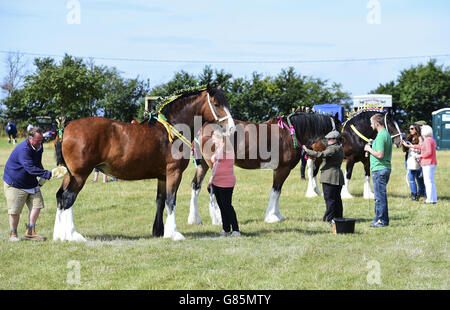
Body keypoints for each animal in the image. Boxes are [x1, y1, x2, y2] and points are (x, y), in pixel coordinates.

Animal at [53, 86, 236, 241]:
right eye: (216, 104)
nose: (232, 128)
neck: (172, 129)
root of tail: (65, 128)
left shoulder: (162, 176)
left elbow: (160, 201)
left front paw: (160, 231)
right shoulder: (174, 172)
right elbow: (171, 200)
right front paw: (174, 233)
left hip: (70, 174)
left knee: (60, 196)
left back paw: (59, 235)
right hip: (80, 175)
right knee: (68, 198)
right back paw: (72, 235)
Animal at [186, 111, 338, 225]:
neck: (290, 134)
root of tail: (203, 127)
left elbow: (278, 191)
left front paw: (277, 215)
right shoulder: (283, 169)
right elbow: (275, 191)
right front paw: (272, 217)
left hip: (203, 165)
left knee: (196, 186)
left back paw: (195, 219)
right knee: (211, 188)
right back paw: (218, 219)